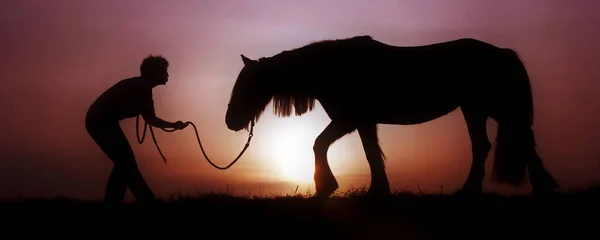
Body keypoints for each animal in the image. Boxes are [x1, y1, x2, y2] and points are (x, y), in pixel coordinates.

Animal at [224, 35, 556, 197]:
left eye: (246, 84)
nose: (230, 121)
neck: (331, 68)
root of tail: (503, 52)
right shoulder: (363, 122)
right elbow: (371, 153)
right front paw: (377, 190)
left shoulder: (349, 119)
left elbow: (320, 144)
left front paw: (326, 185)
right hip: (476, 109)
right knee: (492, 146)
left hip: (489, 108)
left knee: (514, 142)